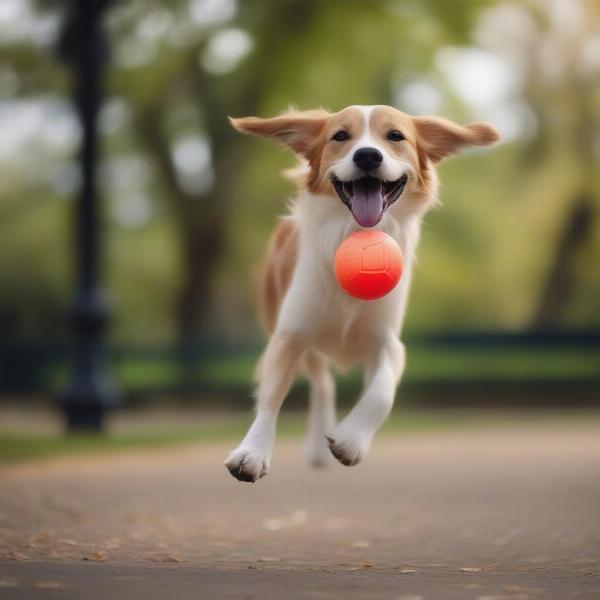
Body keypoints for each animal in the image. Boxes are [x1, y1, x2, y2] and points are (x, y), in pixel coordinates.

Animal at [224, 105, 496, 482]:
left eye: (395, 136)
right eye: (340, 136)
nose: (367, 155)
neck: (353, 232)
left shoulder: (388, 342)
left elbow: (381, 392)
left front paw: (351, 440)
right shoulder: (291, 334)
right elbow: (271, 396)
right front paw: (251, 452)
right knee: (322, 384)